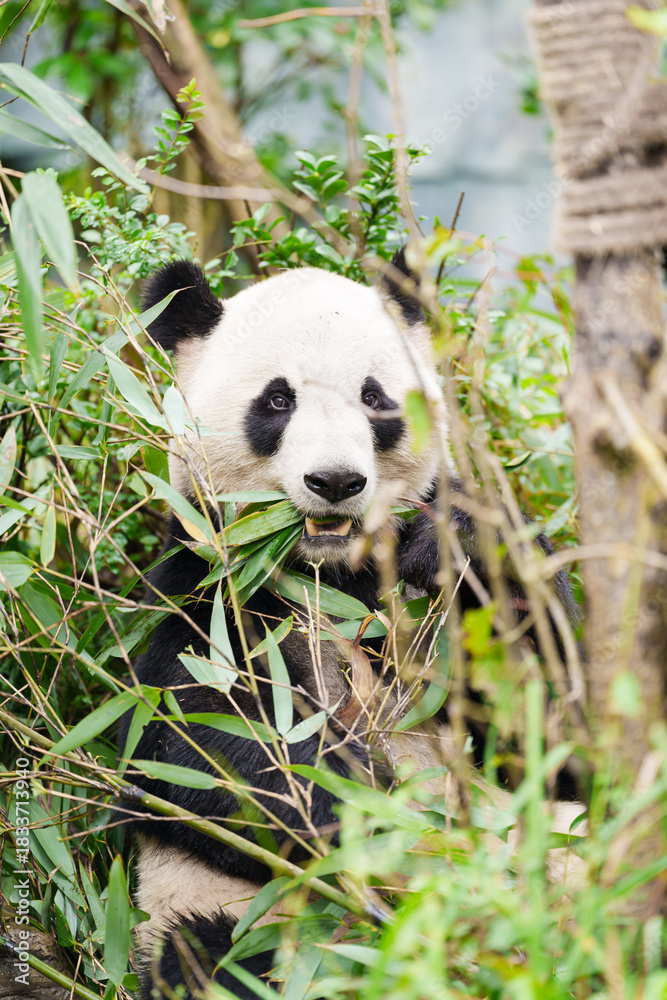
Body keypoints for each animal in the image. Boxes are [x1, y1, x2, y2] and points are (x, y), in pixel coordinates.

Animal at [120, 252, 580, 999]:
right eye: (277, 401)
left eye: (375, 398)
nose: (335, 481)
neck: (331, 573)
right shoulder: (207, 588)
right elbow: (203, 744)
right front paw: (389, 823)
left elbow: (546, 729)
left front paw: (458, 542)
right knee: (215, 956)